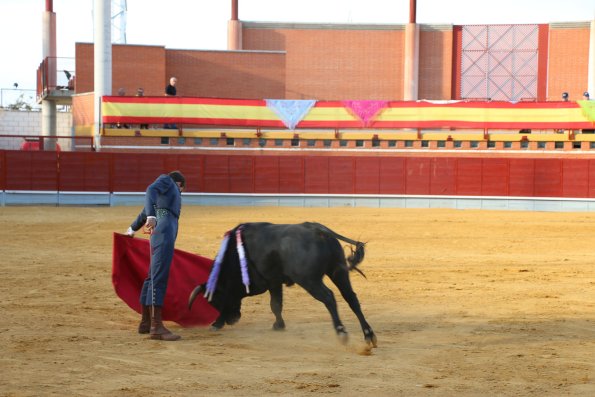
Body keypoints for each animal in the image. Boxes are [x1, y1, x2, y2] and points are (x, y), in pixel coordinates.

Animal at [190, 221, 378, 348]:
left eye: (215, 300)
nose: (232, 319)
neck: (234, 256)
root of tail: (319, 230)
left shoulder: (267, 282)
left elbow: (273, 304)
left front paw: (216, 323)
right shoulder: (274, 282)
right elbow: (276, 304)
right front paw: (279, 325)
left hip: (309, 280)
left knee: (329, 298)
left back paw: (341, 332)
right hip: (338, 272)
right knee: (351, 298)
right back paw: (369, 335)